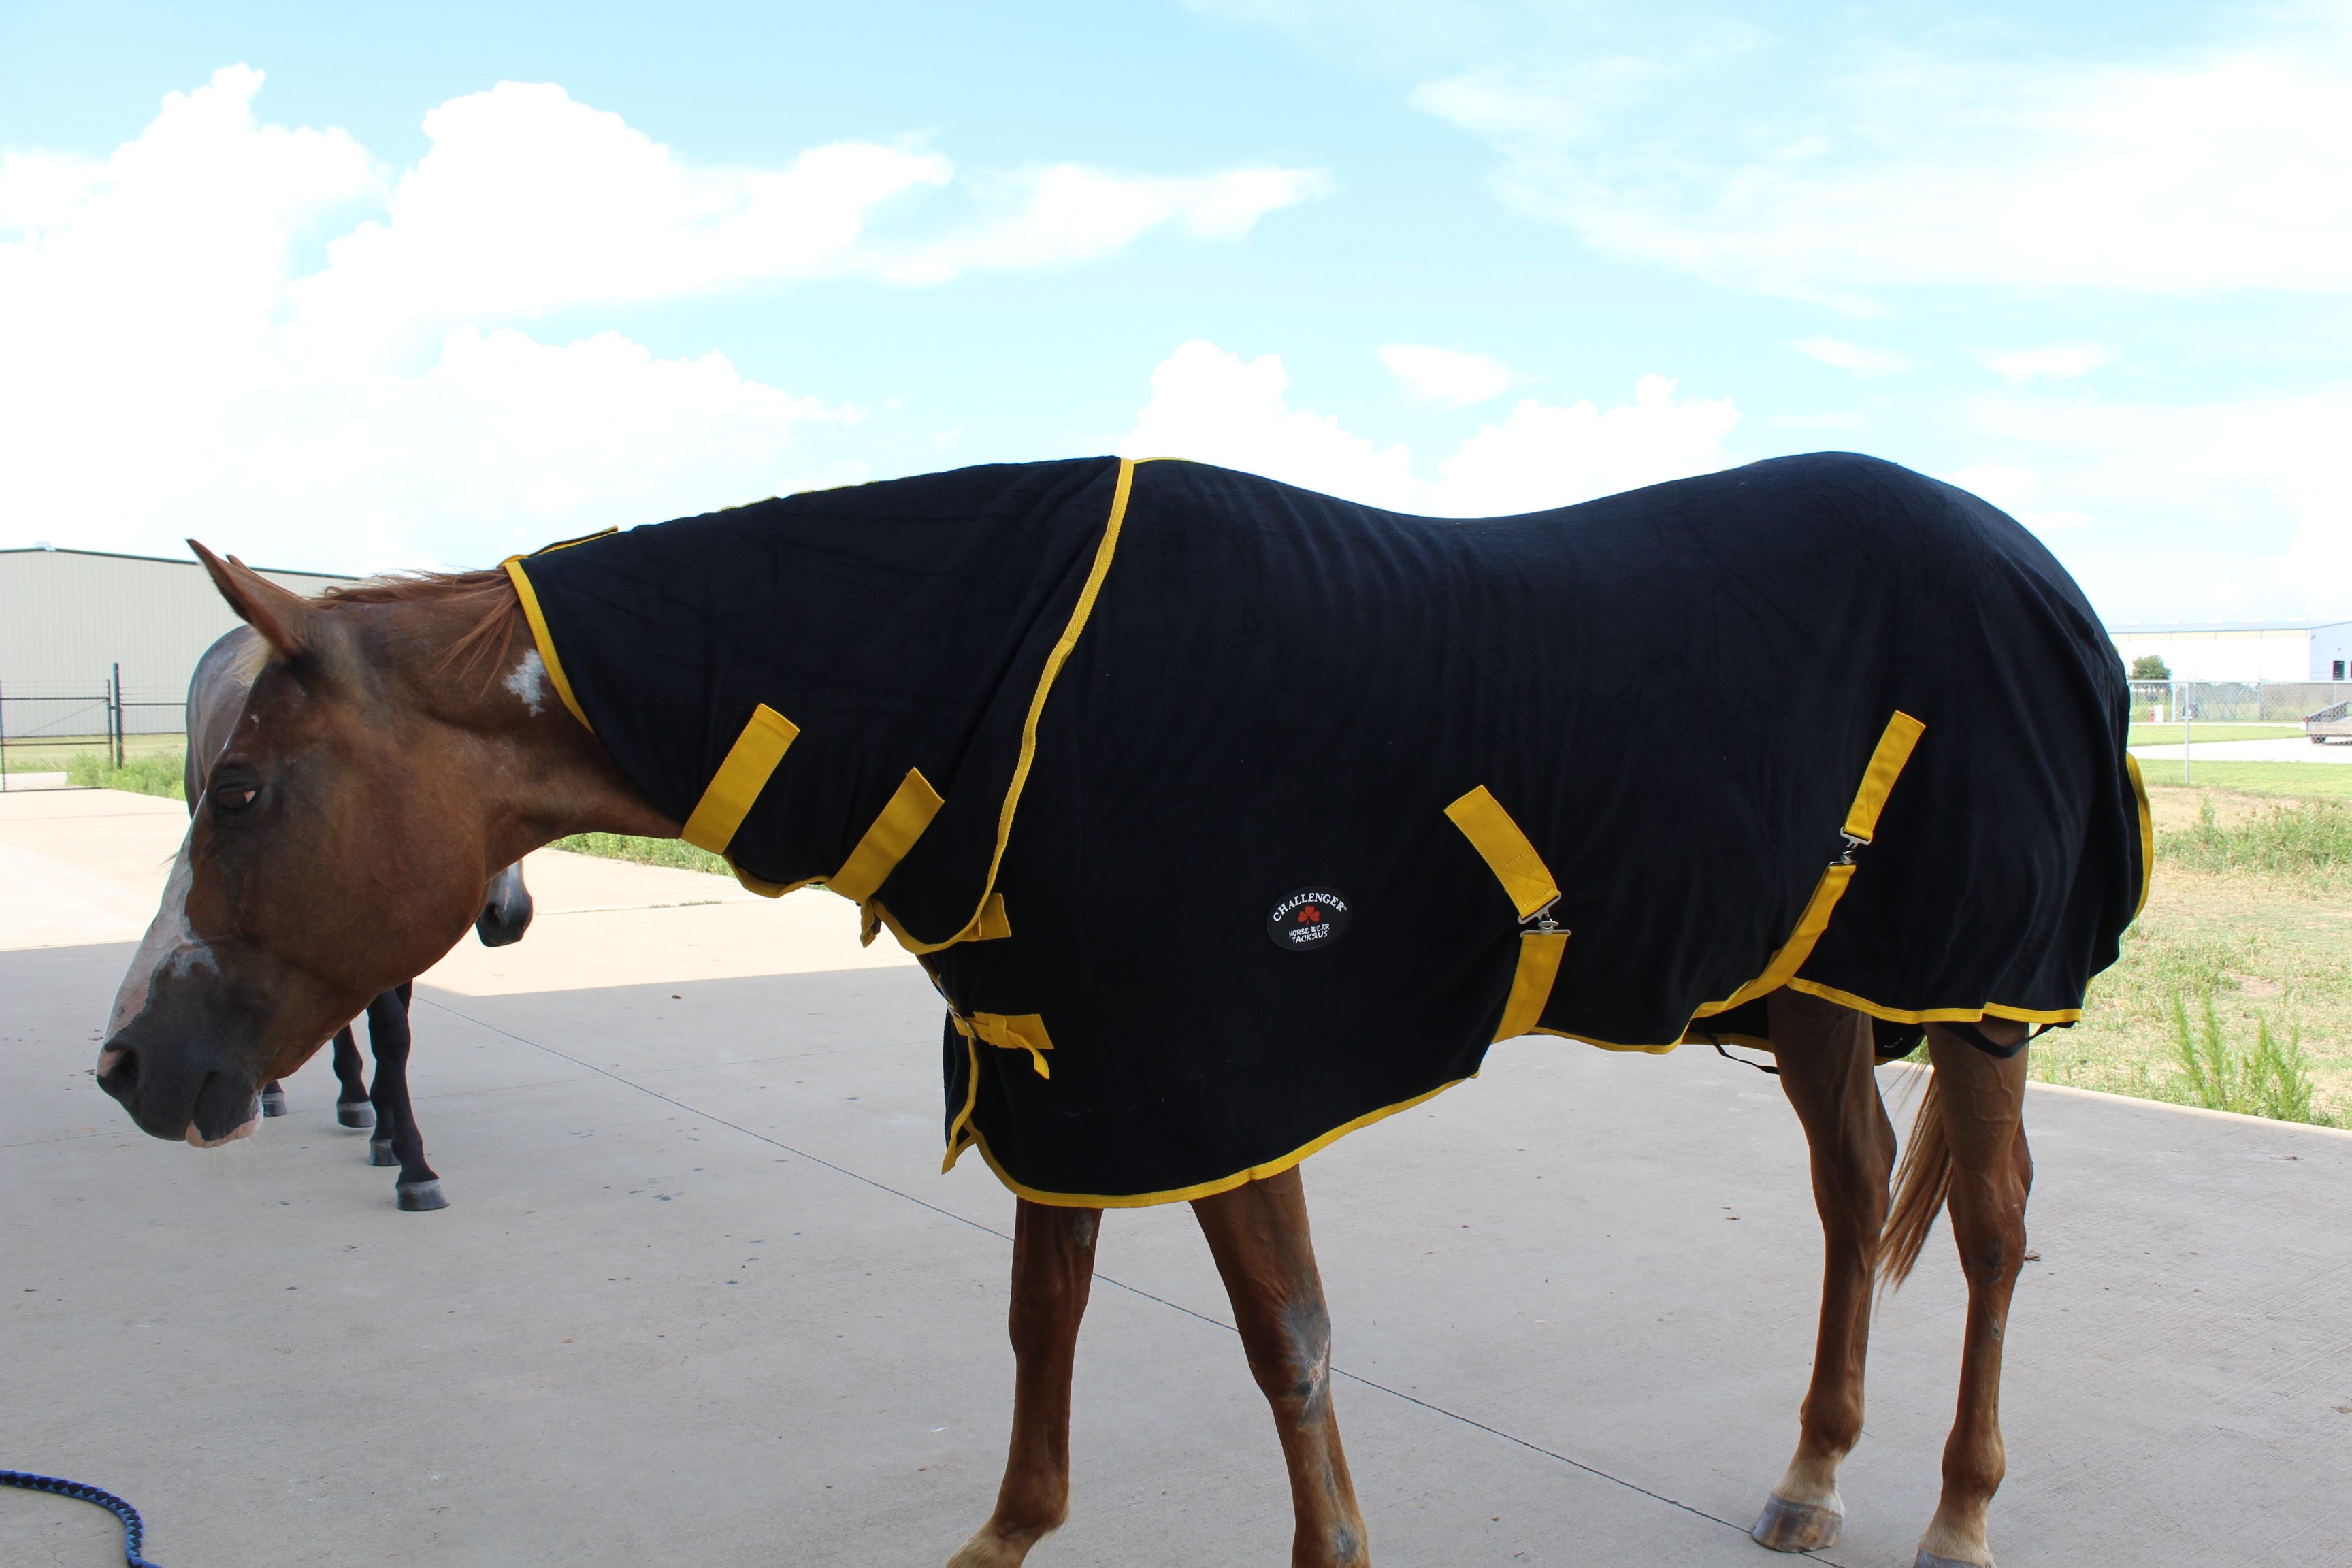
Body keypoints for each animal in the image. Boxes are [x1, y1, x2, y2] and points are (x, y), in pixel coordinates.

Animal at [182, 625, 537, 1210]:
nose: (507, 916)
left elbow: (394, 1034)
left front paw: (386, 1131)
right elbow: (389, 1031)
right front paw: (414, 1165)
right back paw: (278, 1092)